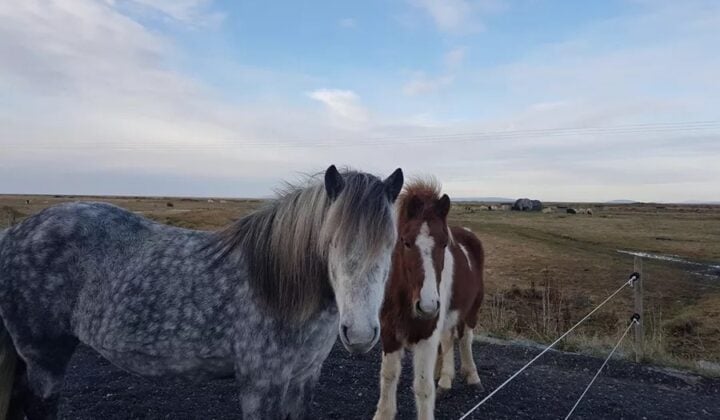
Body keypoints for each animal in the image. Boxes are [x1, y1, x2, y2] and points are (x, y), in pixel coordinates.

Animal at [0, 165, 404, 420]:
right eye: (330, 241)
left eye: (391, 244)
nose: (360, 334)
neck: (278, 286)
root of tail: (15, 232)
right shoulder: (261, 384)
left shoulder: (304, 379)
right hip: (44, 357)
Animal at [373, 179, 484, 420]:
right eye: (405, 242)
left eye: (444, 244)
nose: (427, 306)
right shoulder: (389, 333)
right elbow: (388, 375)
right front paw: (383, 413)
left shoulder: (427, 333)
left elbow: (423, 387)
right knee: (448, 338)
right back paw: (444, 379)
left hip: (472, 310)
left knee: (465, 339)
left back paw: (472, 376)